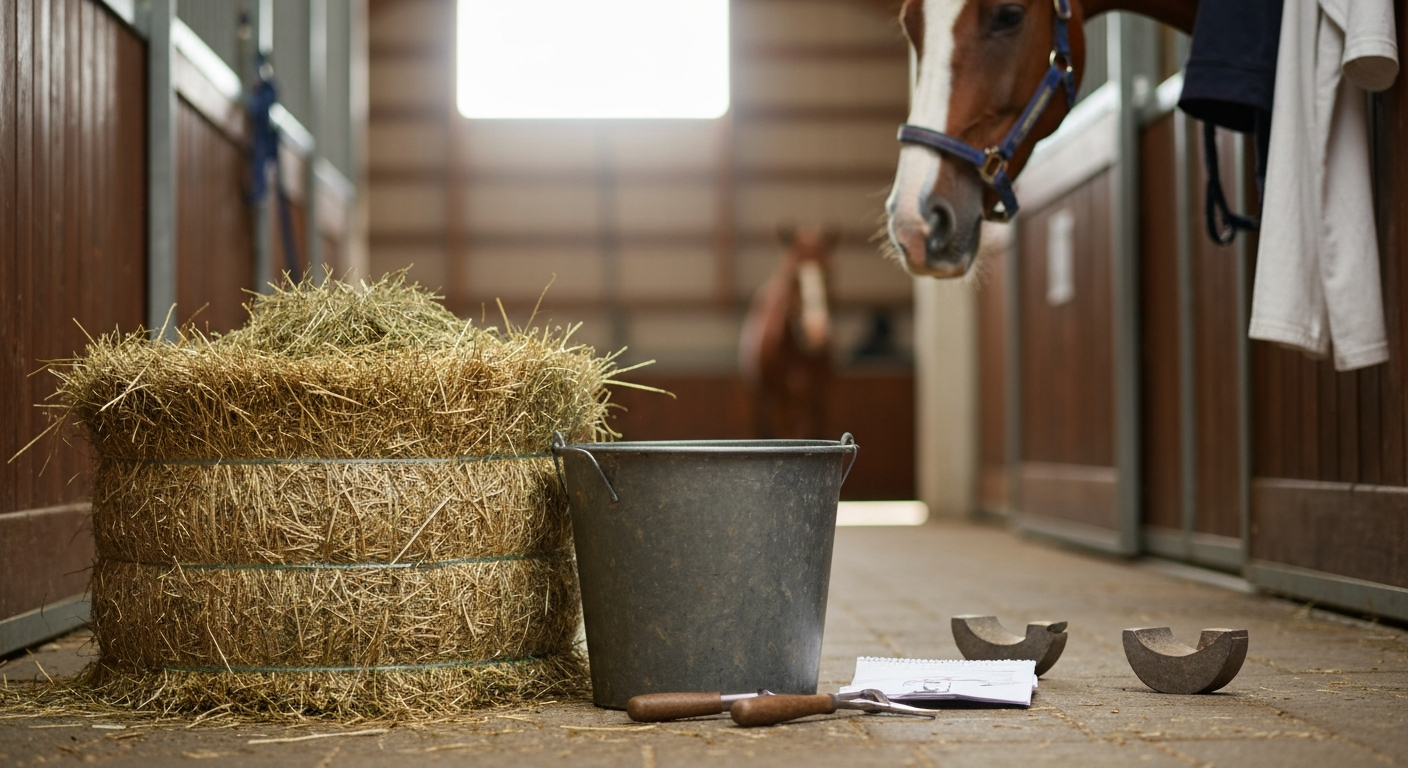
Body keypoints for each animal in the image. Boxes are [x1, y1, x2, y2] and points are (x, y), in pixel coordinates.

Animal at [739, 227, 840, 439]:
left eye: (829, 275)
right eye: (792, 276)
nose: (815, 330)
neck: (798, 354)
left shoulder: (820, 395)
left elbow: (815, 432)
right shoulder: (780, 397)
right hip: (762, 396)